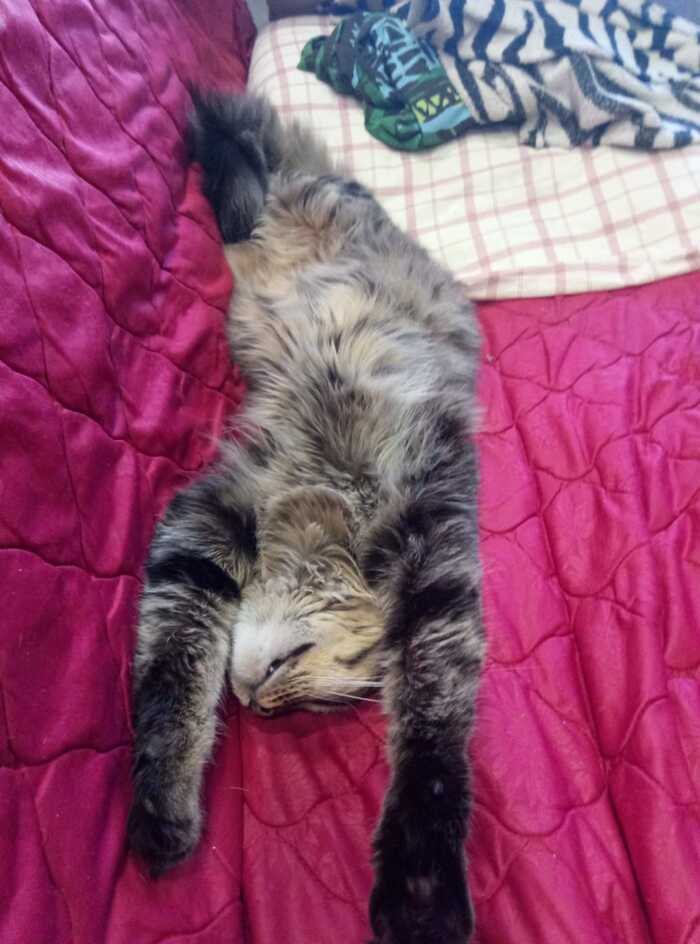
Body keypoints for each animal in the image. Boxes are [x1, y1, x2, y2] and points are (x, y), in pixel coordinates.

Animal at [127, 91, 485, 944]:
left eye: (295, 685)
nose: (258, 706)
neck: (338, 498)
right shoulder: (216, 512)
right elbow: (174, 677)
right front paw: (163, 808)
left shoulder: (435, 556)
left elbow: (432, 733)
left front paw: (420, 885)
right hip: (306, 186)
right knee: (235, 128)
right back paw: (236, 188)